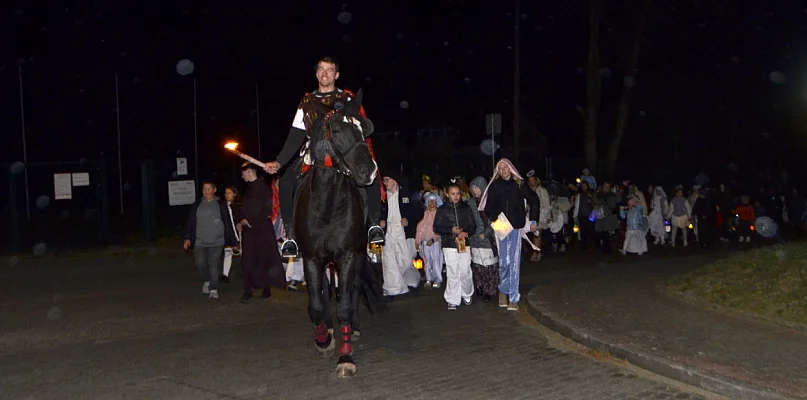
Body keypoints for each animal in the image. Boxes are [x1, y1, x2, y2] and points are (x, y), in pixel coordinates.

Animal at [296, 89, 386, 376]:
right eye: (336, 129)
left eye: (362, 129)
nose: (369, 171)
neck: (326, 205)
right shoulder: (311, 258)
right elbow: (315, 303)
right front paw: (323, 339)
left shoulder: (347, 255)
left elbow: (345, 305)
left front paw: (345, 357)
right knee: (325, 292)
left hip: (357, 255)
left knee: (354, 288)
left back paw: (353, 328)